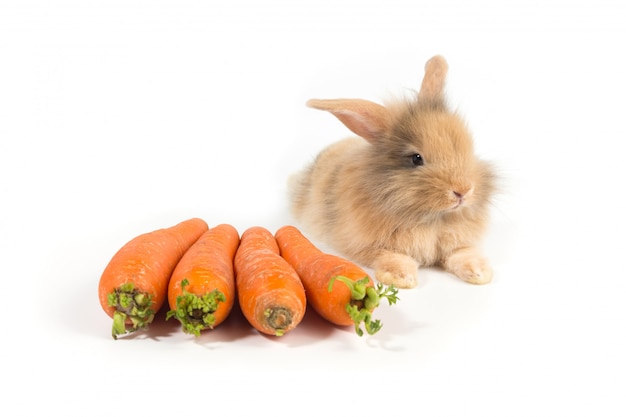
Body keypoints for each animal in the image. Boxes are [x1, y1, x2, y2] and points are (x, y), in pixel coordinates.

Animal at [286, 56, 494, 290]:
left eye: (466, 147)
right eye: (416, 158)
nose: (463, 191)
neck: (430, 218)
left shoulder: (457, 243)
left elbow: (462, 253)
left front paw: (479, 273)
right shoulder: (373, 246)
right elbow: (392, 256)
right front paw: (401, 278)